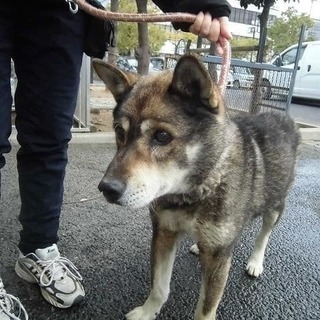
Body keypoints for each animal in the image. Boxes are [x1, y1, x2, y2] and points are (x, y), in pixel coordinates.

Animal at [92, 55, 300, 320]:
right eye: (120, 131)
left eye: (162, 136)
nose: (107, 188)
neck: (195, 192)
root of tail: (283, 117)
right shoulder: (164, 232)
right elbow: (159, 286)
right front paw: (148, 311)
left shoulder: (218, 257)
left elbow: (205, 309)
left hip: (275, 205)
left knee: (264, 234)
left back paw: (255, 262)